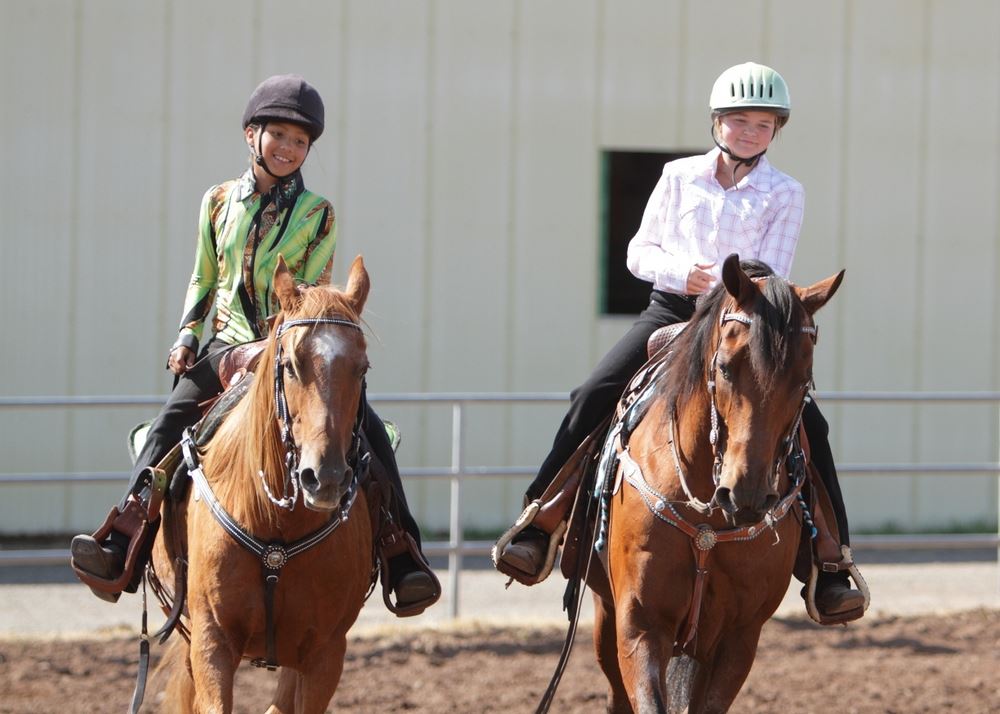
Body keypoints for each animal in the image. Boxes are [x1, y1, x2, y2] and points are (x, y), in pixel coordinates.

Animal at [149, 255, 375, 714]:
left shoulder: (326, 652)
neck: (274, 525)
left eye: (361, 368)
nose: (325, 478)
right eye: (290, 365)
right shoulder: (211, 639)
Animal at [588, 254, 844, 713]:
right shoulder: (639, 625)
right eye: (724, 367)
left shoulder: (739, 638)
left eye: (804, 381)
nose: (746, 495)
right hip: (606, 616)